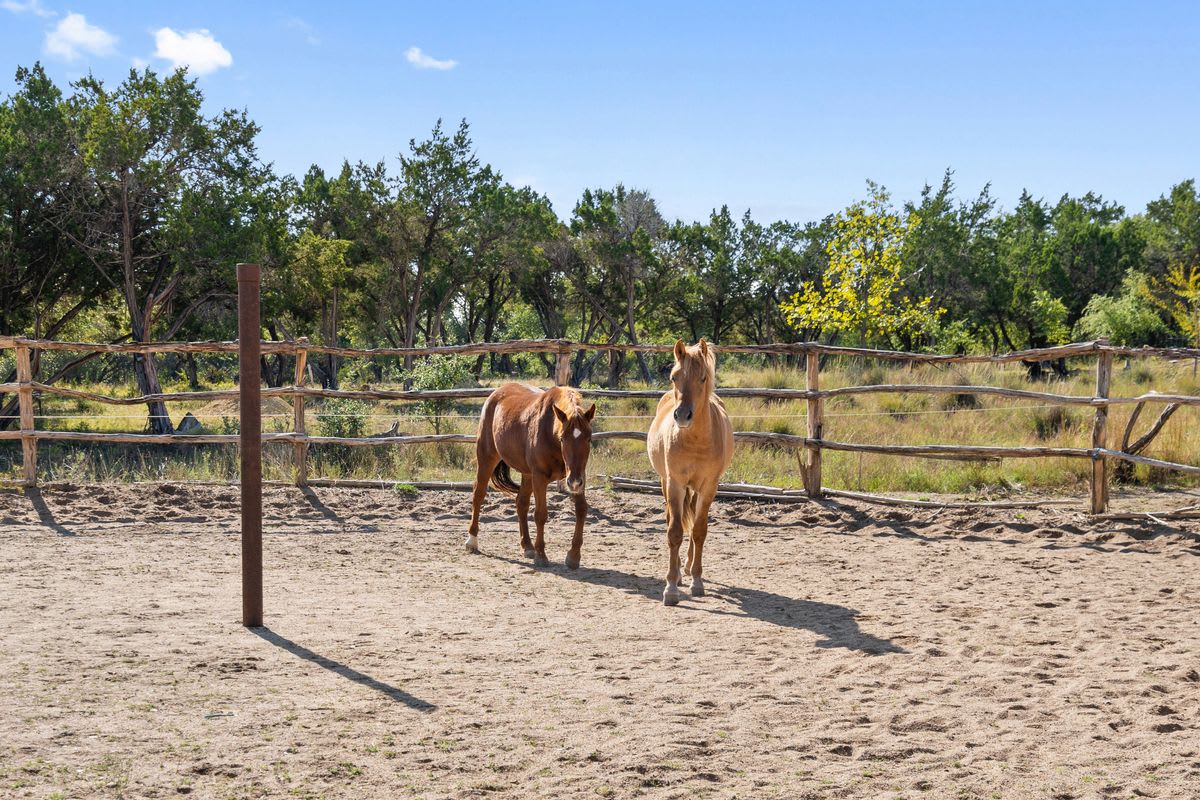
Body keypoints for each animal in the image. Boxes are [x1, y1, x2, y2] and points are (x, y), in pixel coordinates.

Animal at [463, 383, 595, 566]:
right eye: (563, 439)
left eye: (588, 439)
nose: (574, 482)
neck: (549, 430)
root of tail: (496, 393)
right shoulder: (540, 477)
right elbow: (540, 514)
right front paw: (541, 555)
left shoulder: (578, 477)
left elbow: (581, 510)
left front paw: (574, 556)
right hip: (487, 458)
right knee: (478, 495)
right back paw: (472, 540)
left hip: (527, 474)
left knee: (521, 503)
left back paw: (527, 546)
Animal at [648, 338, 729, 606]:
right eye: (674, 377)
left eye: (703, 378)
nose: (682, 415)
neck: (695, 439)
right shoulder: (675, 483)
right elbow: (675, 532)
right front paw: (671, 587)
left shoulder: (708, 486)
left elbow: (699, 531)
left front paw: (697, 581)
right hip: (668, 484)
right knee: (675, 520)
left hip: (695, 490)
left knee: (693, 524)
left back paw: (688, 567)